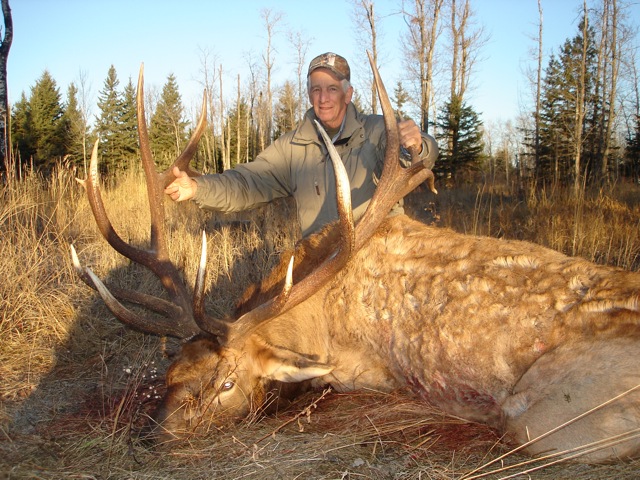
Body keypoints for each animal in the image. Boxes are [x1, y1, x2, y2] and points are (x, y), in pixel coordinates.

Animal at [71, 56, 640, 464]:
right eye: (171, 374)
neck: (317, 319)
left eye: (226, 382)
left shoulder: (359, 367)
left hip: (550, 416)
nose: (153, 439)